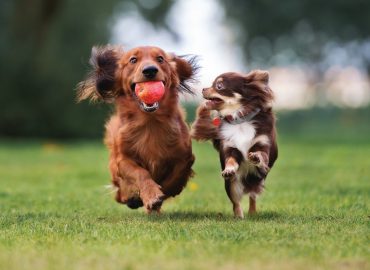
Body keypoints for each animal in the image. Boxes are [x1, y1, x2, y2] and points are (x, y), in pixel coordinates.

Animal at [77, 44, 198, 213]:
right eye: (133, 60)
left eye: (160, 58)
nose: (150, 70)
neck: (150, 122)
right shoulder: (122, 159)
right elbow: (140, 173)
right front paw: (151, 195)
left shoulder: (185, 156)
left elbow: (177, 174)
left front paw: (164, 191)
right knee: (120, 193)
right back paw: (132, 198)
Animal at [192, 69, 276, 217]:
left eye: (219, 86)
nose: (203, 89)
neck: (240, 120)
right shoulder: (230, 148)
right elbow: (230, 160)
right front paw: (229, 169)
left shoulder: (263, 144)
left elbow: (261, 154)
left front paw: (256, 156)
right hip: (231, 185)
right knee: (236, 202)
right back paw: (239, 216)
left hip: (258, 180)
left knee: (252, 196)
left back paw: (252, 213)